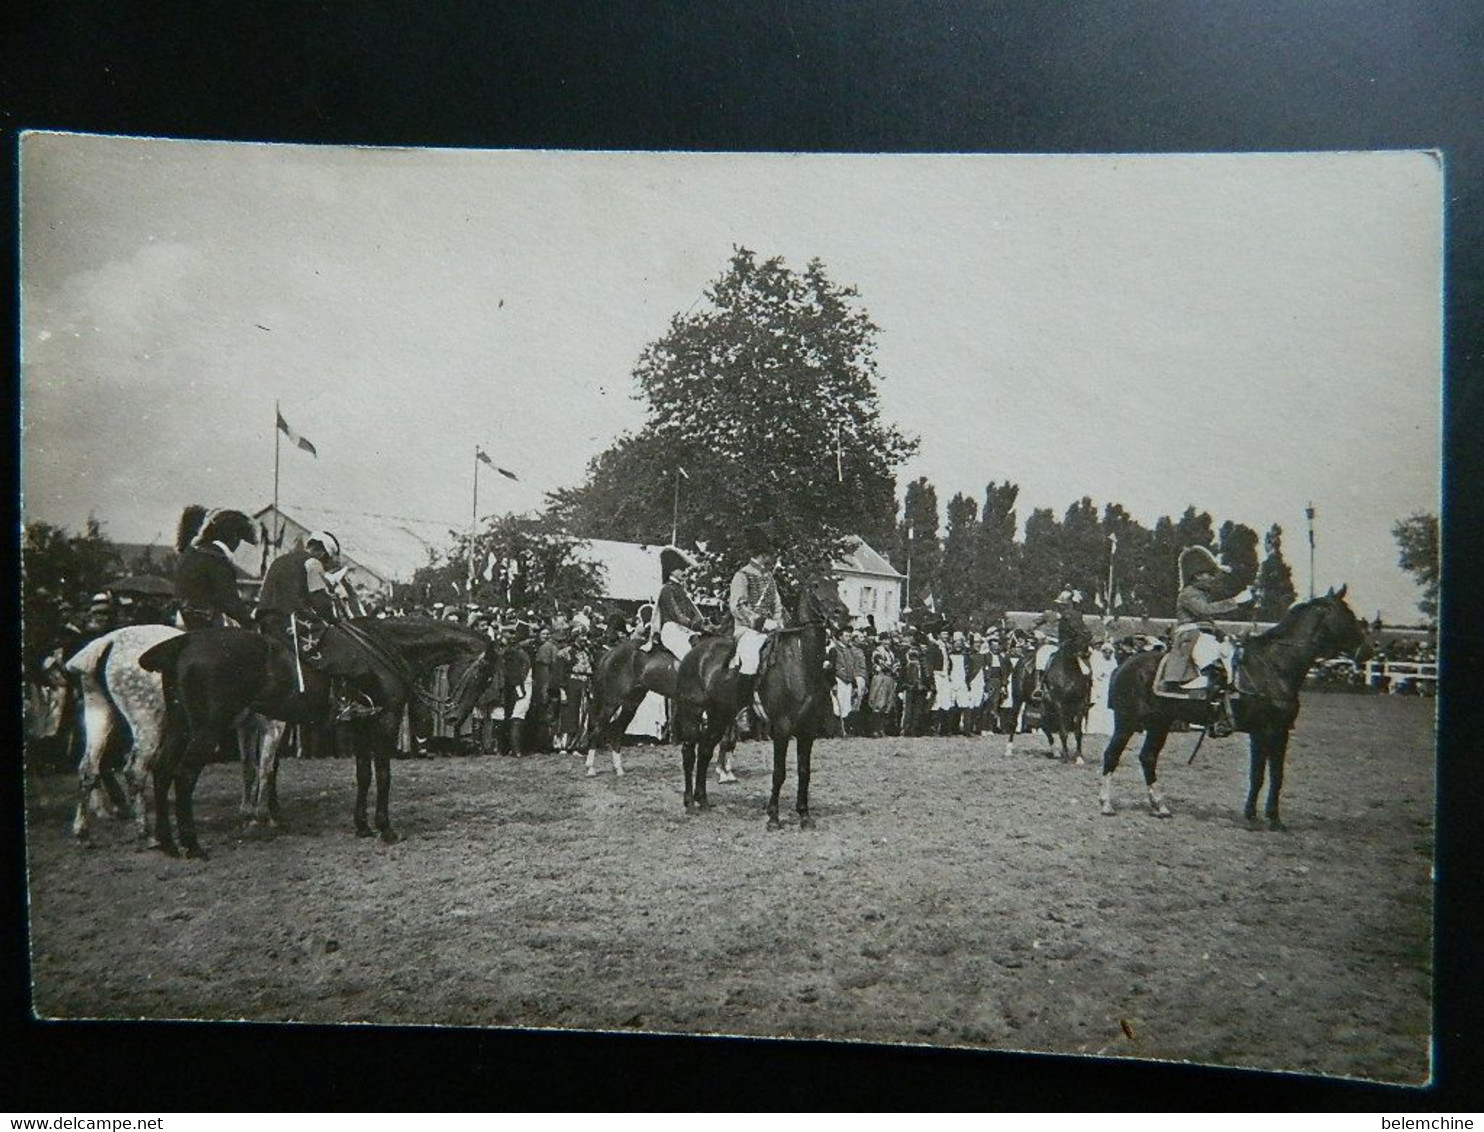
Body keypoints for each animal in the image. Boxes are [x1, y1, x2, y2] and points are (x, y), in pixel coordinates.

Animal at [139, 620, 498, 860]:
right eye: (485, 673)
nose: (454, 718)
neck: (388, 648)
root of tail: (183, 644)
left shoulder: (361, 726)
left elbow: (364, 775)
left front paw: (363, 826)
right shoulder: (385, 722)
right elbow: (383, 775)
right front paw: (385, 828)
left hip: (180, 726)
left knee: (161, 769)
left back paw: (168, 843)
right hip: (207, 729)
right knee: (184, 776)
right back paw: (193, 845)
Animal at [673, 575, 848, 830]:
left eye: (836, 587)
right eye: (815, 587)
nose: (841, 615)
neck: (800, 662)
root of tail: (696, 651)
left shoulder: (807, 731)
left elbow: (804, 771)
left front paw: (804, 815)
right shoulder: (781, 729)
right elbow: (779, 772)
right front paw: (773, 817)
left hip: (720, 715)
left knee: (705, 750)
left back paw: (703, 801)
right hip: (692, 712)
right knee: (689, 752)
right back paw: (689, 803)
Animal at [1098, 587, 1359, 830]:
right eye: (1348, 614)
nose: (1363, 648)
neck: (1273, 667)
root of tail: (1124, 665)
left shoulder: (1276, 732)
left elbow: (1273, 775)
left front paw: (1271, 818)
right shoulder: (1266, 731)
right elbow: (1260, 775)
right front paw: (1256, 817)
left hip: (1158, 725)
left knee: (1147, 758)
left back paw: (1160, 806)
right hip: (1126, 723)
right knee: (1112, 755)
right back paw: (1106, 804)